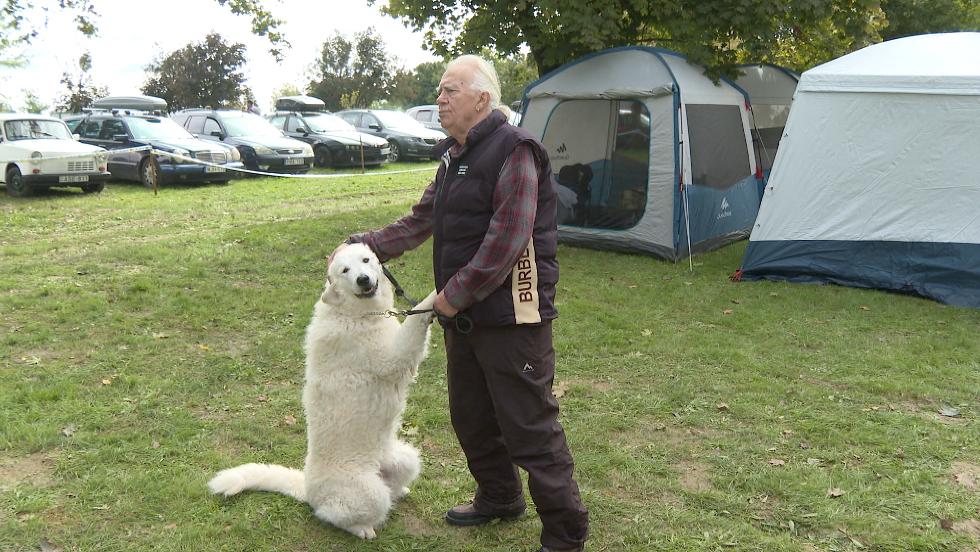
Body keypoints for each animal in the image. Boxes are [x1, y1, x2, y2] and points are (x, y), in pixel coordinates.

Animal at [208, 244, 436, 536]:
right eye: (345, 270)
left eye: (366, 260)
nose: (363, 280)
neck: (352, 312)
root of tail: (307, 489)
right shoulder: (393, 357)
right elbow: (418, 313)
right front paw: (440, 293)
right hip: (368, 493)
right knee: (332, 515)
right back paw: (361, 528)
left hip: (407, 458)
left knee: (390, 487)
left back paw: (400, 490)